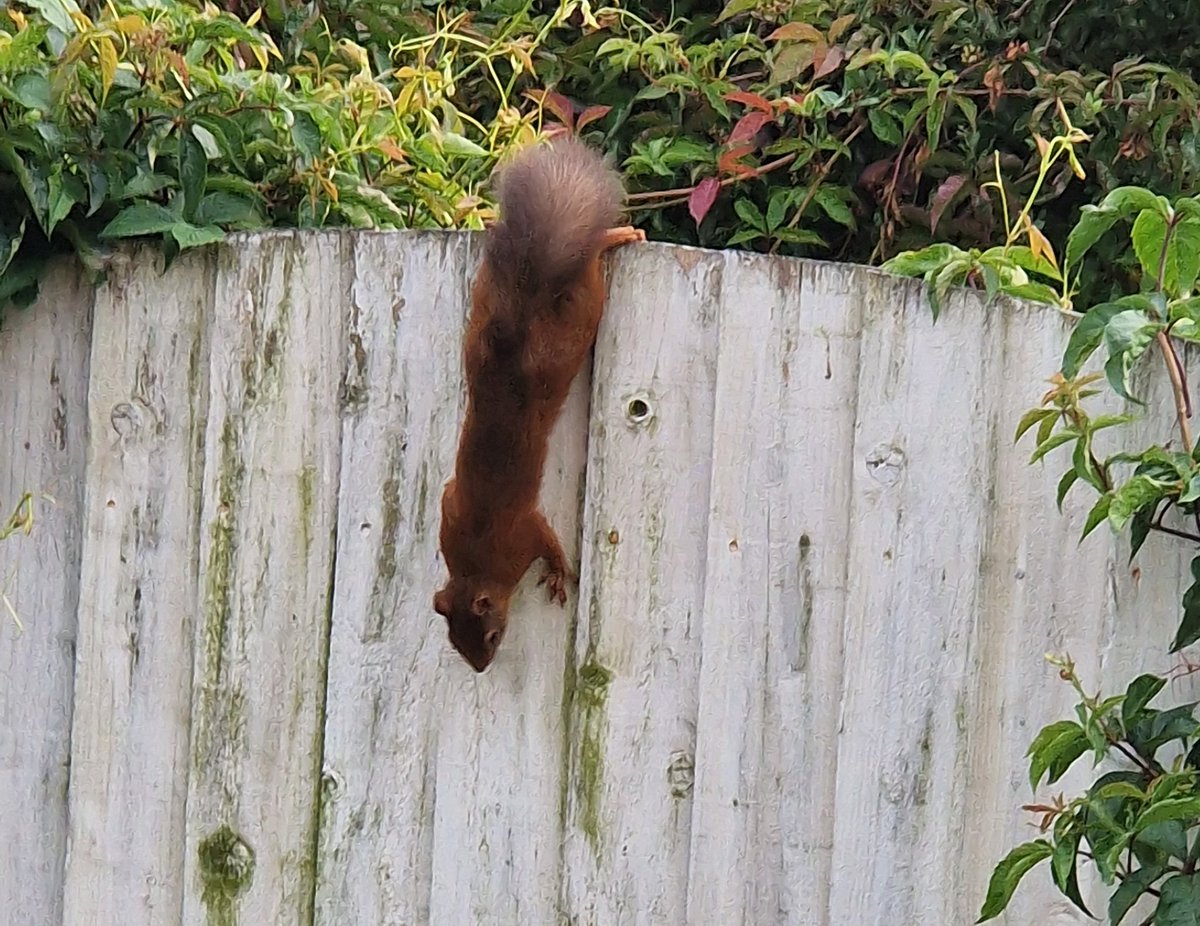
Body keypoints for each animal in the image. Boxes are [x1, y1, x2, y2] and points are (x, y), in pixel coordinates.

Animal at [433, 135, 645, 672]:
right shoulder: (450, 510)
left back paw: (620, 234)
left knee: (592, 261)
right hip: (488, 292)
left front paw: (558, 572)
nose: (480, 669)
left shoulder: (523, 533)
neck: (477, 564)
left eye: (489, 635)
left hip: (584, 309)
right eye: (455, 641)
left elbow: (549, 540)